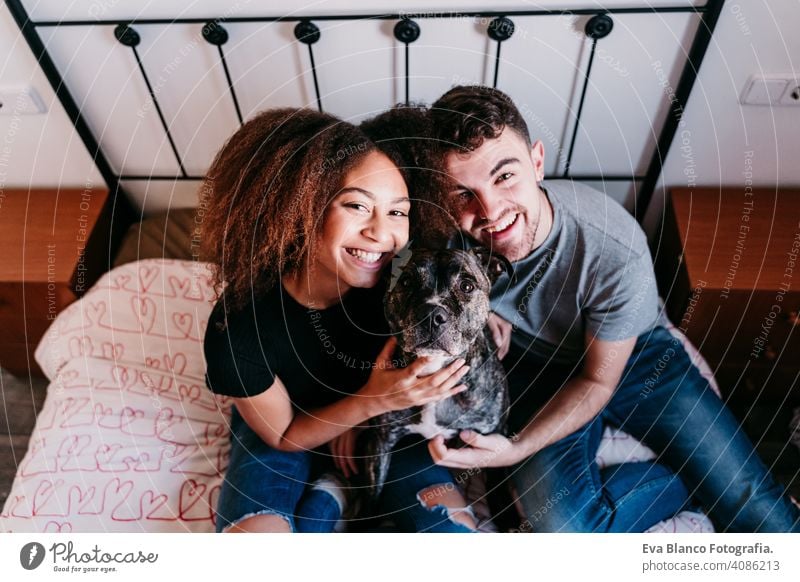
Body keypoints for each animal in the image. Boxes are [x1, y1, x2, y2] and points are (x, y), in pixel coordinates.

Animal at [358, 249, 510, 500]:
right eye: (406, 282)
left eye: (467, 286)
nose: (431, 315)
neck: (434, 369)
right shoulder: (380, 442)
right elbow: (371, 496)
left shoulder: (491, 438)